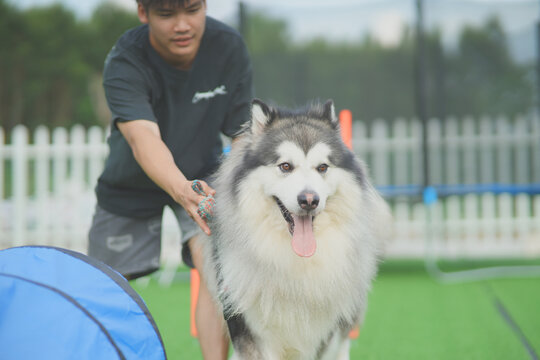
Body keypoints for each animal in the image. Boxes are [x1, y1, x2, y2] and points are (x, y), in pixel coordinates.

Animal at [200, 99, 390, 360]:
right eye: (286, 166)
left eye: (322, 167)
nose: (309, 200)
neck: (296, 264)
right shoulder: (253, 333)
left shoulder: (324, 335)